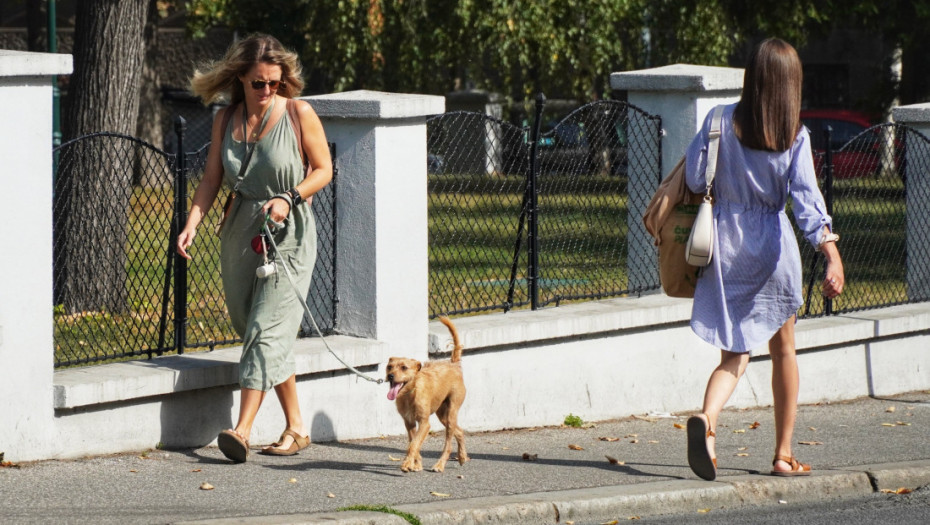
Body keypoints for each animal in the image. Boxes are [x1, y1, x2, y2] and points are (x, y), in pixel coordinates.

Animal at [384, 316, 468, 470]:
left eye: (404, 367)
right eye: (389, 367)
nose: (391, 376)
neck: (410, 394)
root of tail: (453, 364)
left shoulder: (424, 423)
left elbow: (414, 444)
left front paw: (407, 464)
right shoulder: (409, 422)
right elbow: (414, 443)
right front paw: (415, 464)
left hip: (451, 413)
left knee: (448, 444)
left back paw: (440, 465)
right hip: (443, 415)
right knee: (459, 431)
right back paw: (462, 456)